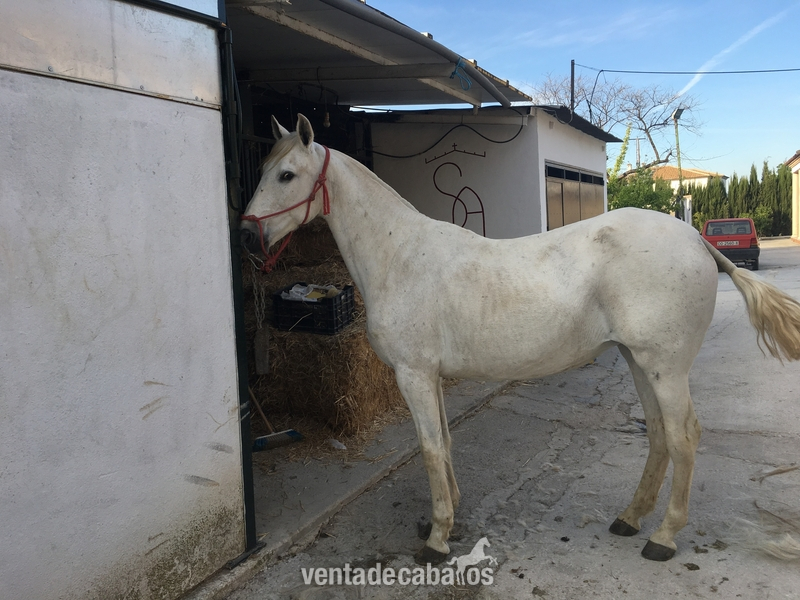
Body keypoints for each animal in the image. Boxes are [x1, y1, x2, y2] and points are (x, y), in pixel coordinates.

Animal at [240, 114, 800, 565]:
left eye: (287, 174)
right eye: (265, 167)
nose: (246, 234)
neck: (399, 256)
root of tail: (697, 240)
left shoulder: (414, 375)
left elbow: (428, 448)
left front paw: (436, 540)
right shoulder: (431, 376)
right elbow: (444, 443)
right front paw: (447, 515)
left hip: (665, 367)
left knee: (683, 437)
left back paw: (662, 538)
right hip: (640, 362)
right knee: (661, 435)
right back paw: (629, 519)